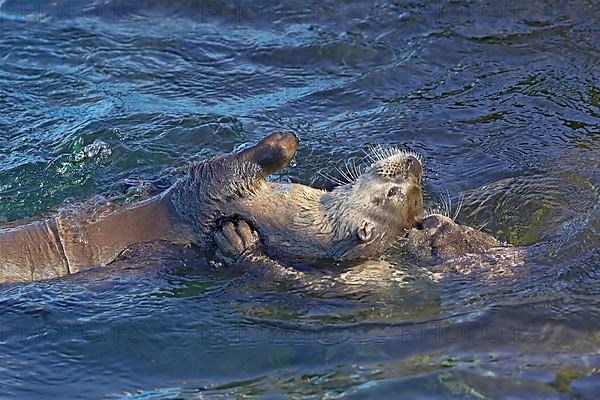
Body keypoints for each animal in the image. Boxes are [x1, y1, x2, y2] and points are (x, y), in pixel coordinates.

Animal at [1, 133, 422, 282]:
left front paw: (283, 140)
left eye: (392, 192)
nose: (414, 165)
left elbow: (233, 164)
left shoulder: (213, 189)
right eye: (404, 190)